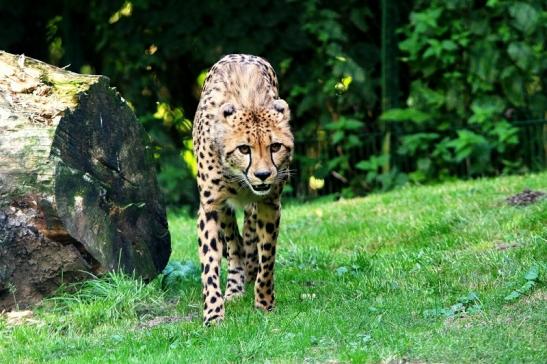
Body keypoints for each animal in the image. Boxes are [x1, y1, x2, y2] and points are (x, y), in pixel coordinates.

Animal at [194, 54, 296, 324]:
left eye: (275, 147)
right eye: (243, 149)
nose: (262, 175)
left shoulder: (270, 203)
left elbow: (267, 257)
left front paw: (264, 303)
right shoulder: (210, 206)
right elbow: (209, 263)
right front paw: (213, 314)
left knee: (249, 232)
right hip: (224, 210)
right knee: (235, 242)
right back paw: (235, 287)